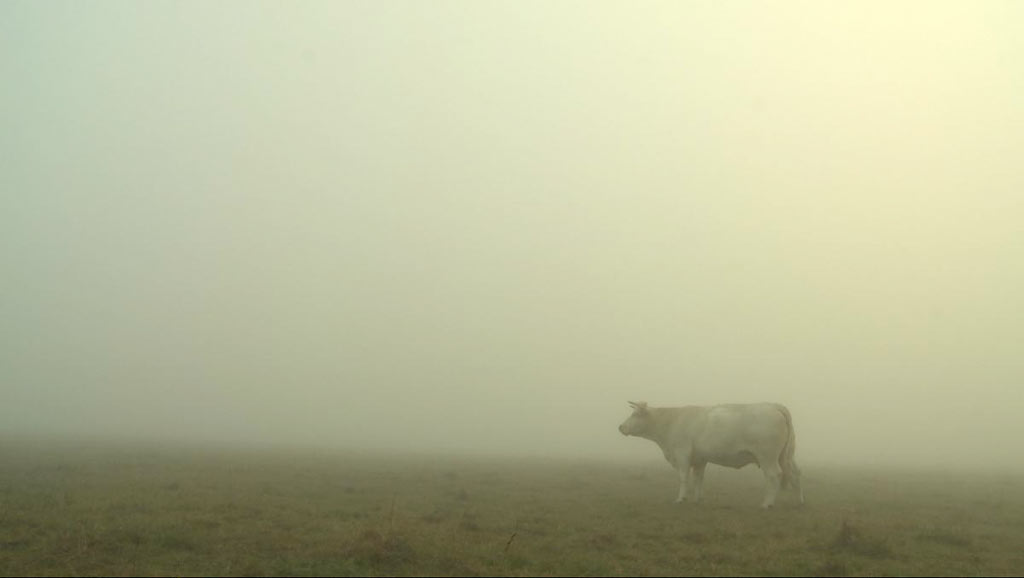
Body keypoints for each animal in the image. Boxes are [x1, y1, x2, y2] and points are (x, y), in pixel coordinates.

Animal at [618, 399, 802, 508]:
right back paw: (798, 502)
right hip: (786, 456)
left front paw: (680, 499)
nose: (621, 427)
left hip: (767, 457)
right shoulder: (700, 459)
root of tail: (774, 406)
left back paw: (767, 504)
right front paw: (697, 499)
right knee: (795, 474)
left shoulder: (682, 454)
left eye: (635, 414)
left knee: (774, 475)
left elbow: (683, 477)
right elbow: (698, 479)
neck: (671, 421)